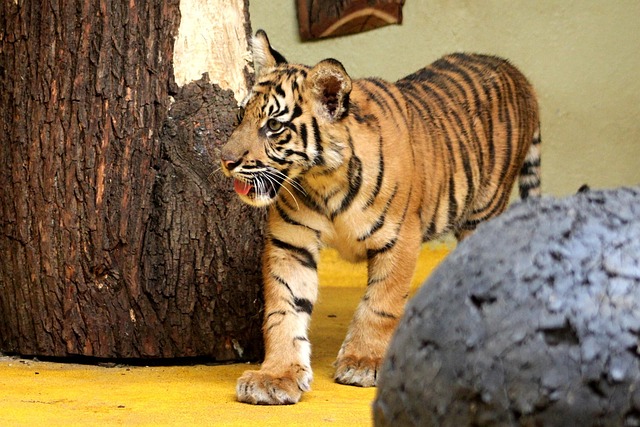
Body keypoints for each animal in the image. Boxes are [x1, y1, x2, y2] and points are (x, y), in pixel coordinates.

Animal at [220, 30, 541, 405]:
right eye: (241, 116)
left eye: (273, 126)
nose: (225, 160)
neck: (322, 180)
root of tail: (513, 70)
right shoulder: (291, 243)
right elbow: (284, 309)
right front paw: (276, 377)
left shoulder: (399, 238)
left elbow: (381, 304)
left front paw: (364, 361)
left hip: (483, 213)